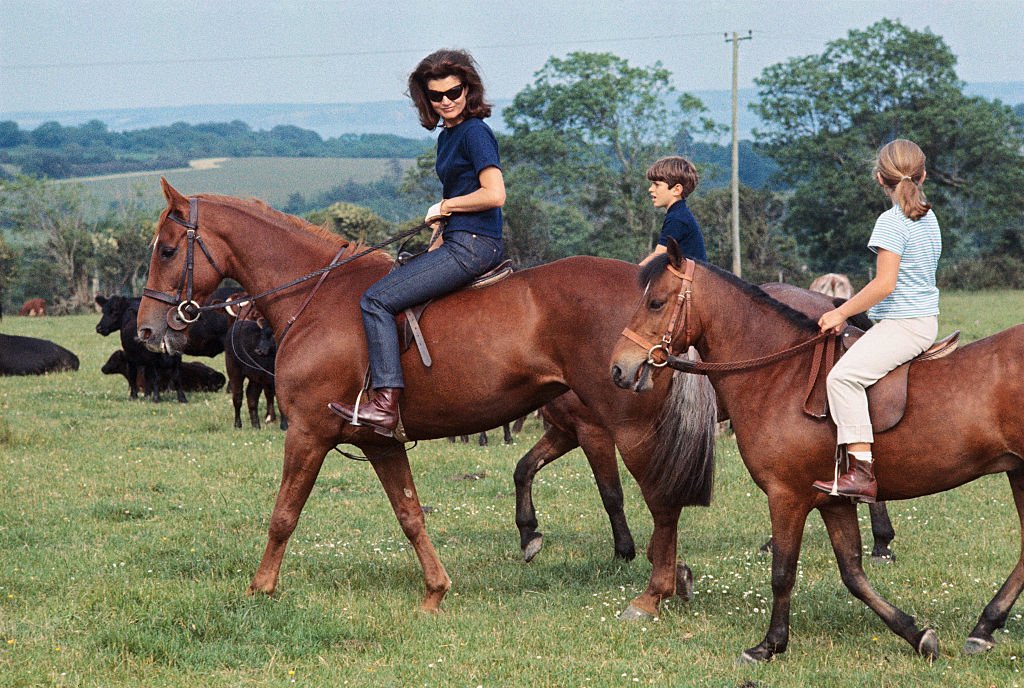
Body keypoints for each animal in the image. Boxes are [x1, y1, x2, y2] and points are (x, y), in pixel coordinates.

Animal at [136, 180, 716, 614]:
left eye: (167, 250)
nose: (146, 330)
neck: (315, 297)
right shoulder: (380, 441)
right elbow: (410, 513)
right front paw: (435, 591)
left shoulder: (307, 432)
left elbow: (284, 514)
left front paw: (261, 588)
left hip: (628, 427)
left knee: (662, 501)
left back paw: (659, 586)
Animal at [610, 240, 1024, 659]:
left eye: (656, 303)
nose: (618, 369)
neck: (780, 375)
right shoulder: (833, 502)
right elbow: (853, 573)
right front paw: (916, 634)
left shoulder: (786, 495)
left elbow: (782, 571)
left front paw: (769, 644)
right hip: (1017, 472)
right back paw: (984, 627)